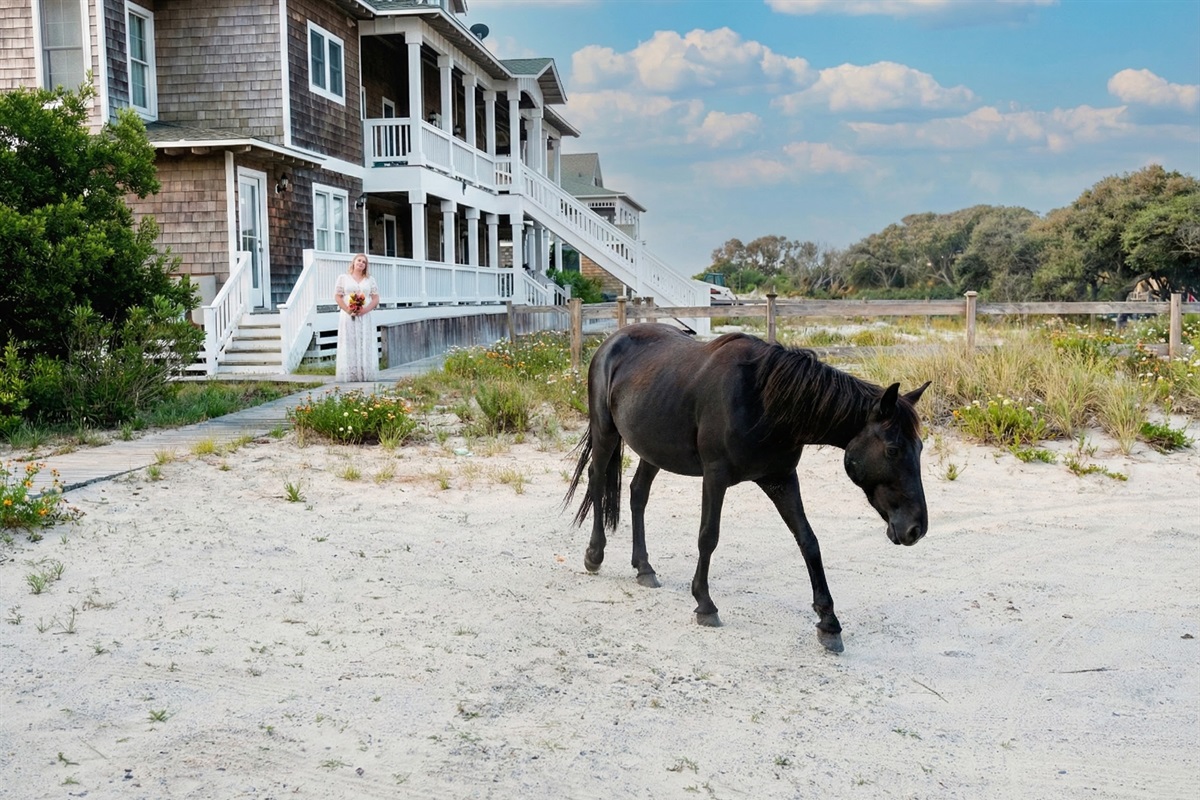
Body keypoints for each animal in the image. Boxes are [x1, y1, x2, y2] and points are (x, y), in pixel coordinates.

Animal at [564, 323, 930, 653]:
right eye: (893, 450)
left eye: (921, 448)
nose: (916, 529)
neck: (765, 402)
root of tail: (612, 340)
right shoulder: (715, 476)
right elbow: (708, 536)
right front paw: (705, 603)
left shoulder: (781, 478)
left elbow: (808, 542)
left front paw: (829, 624)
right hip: (606, 432)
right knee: (597, 481)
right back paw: (594, 555)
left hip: (652, 448)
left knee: (638, 494)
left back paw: (644, 568)